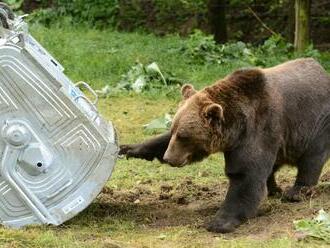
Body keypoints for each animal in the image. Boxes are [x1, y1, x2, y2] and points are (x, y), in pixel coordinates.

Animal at [120, 58, 330, 232]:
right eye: (174, 132)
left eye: (184, 136)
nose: (169, 158)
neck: (236, 128)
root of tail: (323, 72)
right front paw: (128, 149)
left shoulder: (259, 129)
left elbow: (245, 175)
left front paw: (218, 222)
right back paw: (273, 189)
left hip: (315, 124)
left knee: (311, 159)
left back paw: (295, 191)